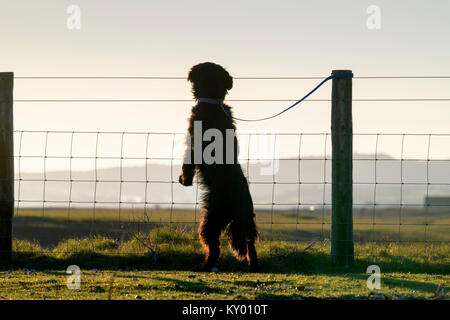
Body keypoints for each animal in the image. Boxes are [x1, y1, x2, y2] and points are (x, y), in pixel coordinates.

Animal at [178, 62, 258, 272]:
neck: (212, 100)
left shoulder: (193, 142)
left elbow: (187, 160)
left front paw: (184, 179)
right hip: (247, 220)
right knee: (250, 242)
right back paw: (254, 265)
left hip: (213, 217)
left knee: (214, 246)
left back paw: (206, 265)